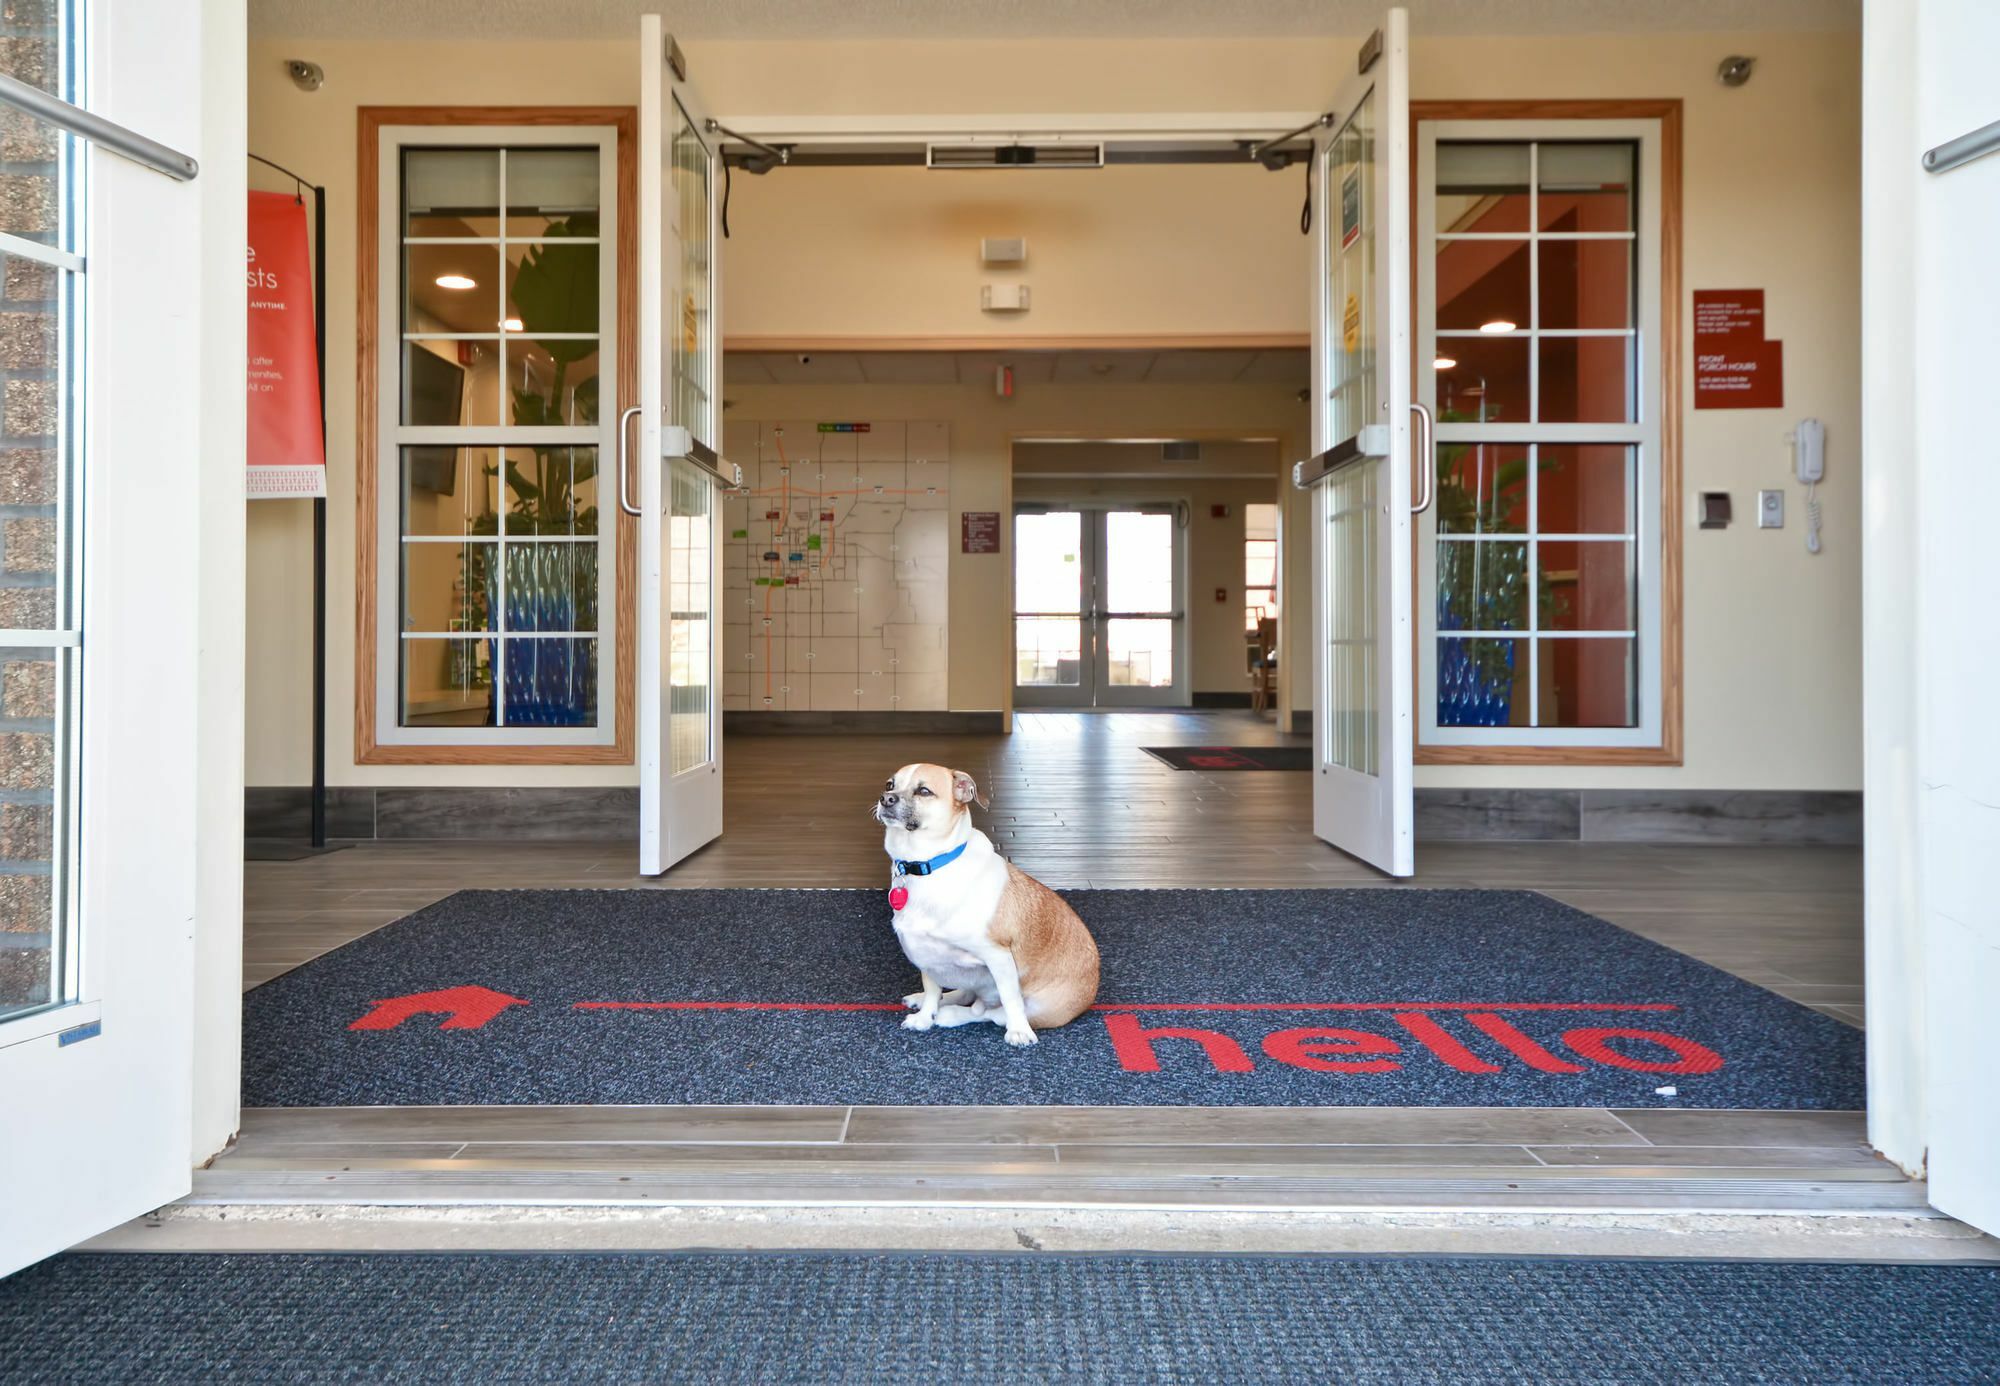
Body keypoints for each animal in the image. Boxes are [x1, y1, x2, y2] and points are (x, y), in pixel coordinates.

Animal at [872, 764, 1104, 1040]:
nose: (885, 798)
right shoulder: (926, 955)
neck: (926, 866)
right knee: (967, 995)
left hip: (1044, 1006)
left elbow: (1010, 999)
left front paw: (1019, 1033)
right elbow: (931, 990)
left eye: (924, 791)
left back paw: (953, 1016)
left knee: (988, 1012)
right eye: (889, 785)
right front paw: (924, 1017)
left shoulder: (997, 956)